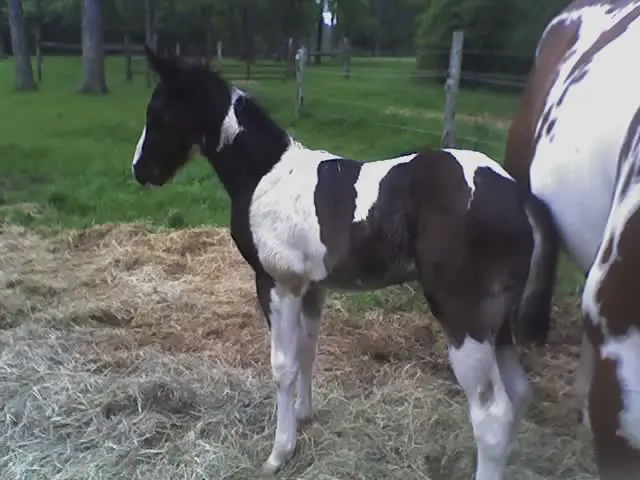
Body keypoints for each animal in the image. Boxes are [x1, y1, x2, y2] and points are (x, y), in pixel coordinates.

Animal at [131, 44, 558, 480]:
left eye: (159, 113)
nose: (140, 171)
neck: (266, 175)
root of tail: (517, 194)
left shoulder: (276, 283)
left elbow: (283, 366)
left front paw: (279, 453)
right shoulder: (311, 287)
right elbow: (307, 351)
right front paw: (303, 416)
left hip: (464, 318)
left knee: (492, 415)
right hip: (497, 320)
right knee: (519, 394)